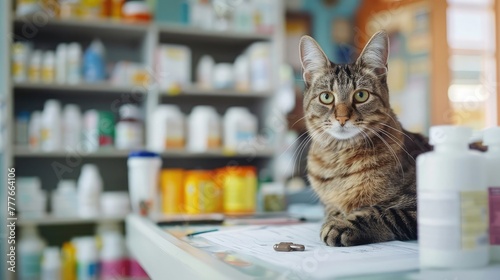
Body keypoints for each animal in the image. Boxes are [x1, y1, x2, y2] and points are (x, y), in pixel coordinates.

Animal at [298, 30, 432, 246]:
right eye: (326, 97)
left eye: (361, 95)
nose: (342, 118)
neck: (340, 160)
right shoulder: (329, 204)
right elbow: (332, 210)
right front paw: (337, 217)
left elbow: (384, 212)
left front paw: (344, 225)